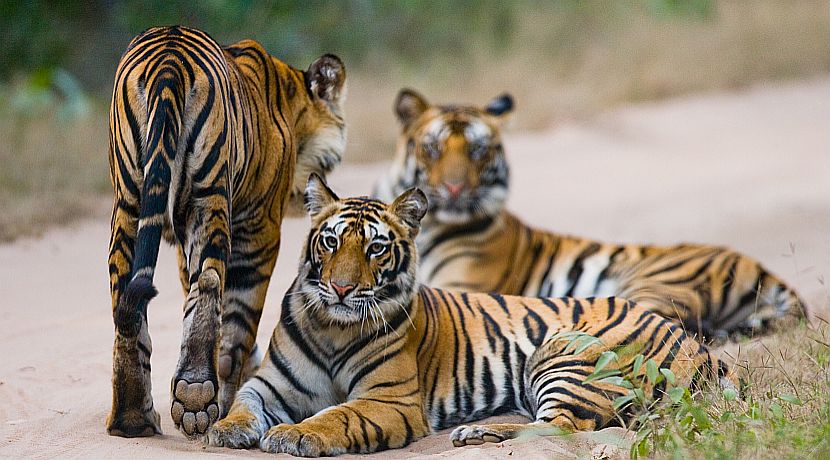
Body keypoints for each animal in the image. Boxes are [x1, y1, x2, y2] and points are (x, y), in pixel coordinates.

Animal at [107, 26, 347, 438]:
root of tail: (170, 57)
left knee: (127, 294)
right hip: (211, 196)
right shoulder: (260, 228)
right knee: (211, 283)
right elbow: (236, 322)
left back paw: (132, 417)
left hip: (129, 201)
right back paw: (196, 395)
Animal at [205, 175, 735, 456]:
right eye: (331, 241)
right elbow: (244, 402)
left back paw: (476, 432)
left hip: (562, 354)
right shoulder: (271, 384)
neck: (331, 326)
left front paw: (295, 434)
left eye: (376, 248)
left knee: (568, 426)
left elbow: (337, 414)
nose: (340, 288)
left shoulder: (389, 401)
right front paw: (225, 429)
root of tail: (696, 345)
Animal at [373, 88, 809, 343]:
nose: (454, 189)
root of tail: (759, 266)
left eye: (478, 151)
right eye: (432, 148)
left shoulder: (462, 288)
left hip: (657, 284)